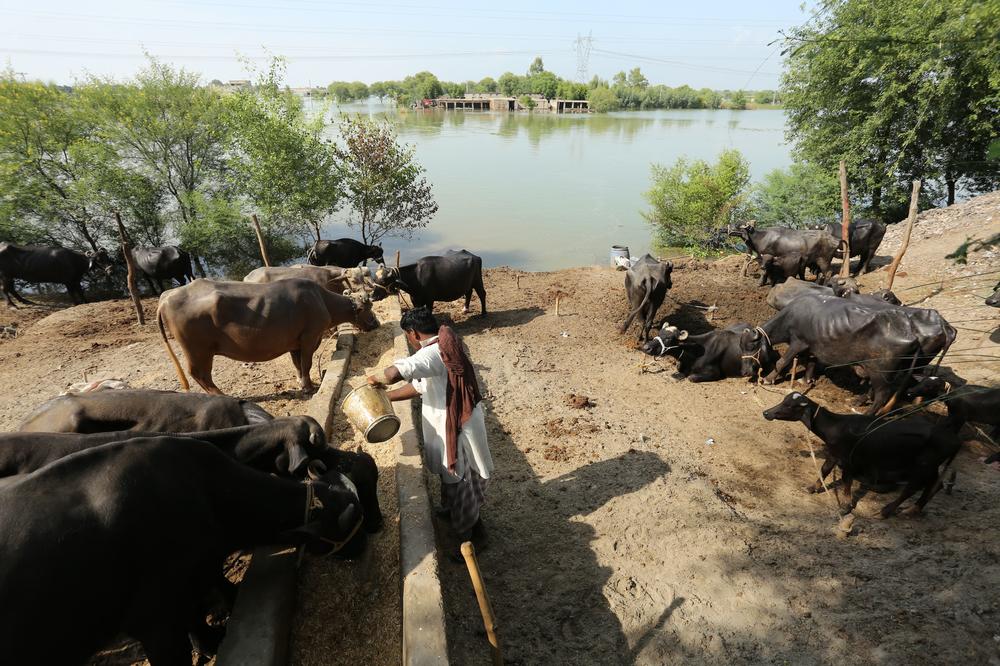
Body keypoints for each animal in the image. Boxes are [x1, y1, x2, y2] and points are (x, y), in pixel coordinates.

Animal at [0, 436, 368, 664]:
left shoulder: (193, 582)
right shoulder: (155, 621)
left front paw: (213, 637)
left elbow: (200, 613)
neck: (205, 493)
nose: (363, 547)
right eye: (352, 524)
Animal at [158, 276, 380, 392]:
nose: (376, 323)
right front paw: (308, 387)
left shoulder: (294, 343)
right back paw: (221, 396)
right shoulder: (310, 337)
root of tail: (168, 296)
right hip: (198, 351)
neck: (322, 300)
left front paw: (301, 382)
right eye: (369, 308)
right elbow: (307, 363)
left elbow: (298, 364)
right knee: (200, 374)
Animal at [764, 392, 960, 516]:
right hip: (932, 466)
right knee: (935, 484)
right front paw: (813, 487)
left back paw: (885, 511)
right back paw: (913, 510)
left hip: (923, 465)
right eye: (784, 401)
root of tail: (954, 438)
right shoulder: (834, 454)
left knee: (912, 487)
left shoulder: (849, 460)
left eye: (789, 405)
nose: (766, 412)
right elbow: (824, 470)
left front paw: (845, 506)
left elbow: (846, 481)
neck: (837, 426)